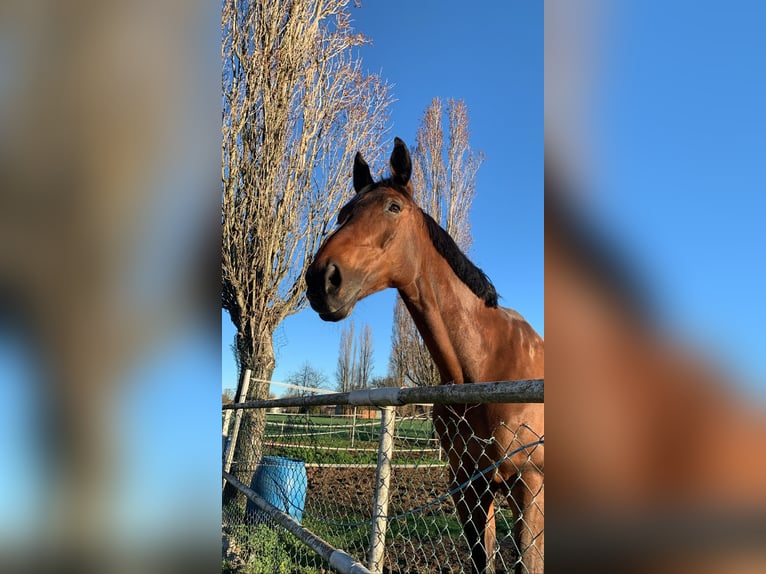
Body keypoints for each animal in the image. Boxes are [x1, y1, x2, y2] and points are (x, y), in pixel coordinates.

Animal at [305, 138, 545, 574]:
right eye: (344, 213)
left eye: (393, 207)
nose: (321, 279)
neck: (483, 370)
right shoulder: (469, 488)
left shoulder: (529, 487)